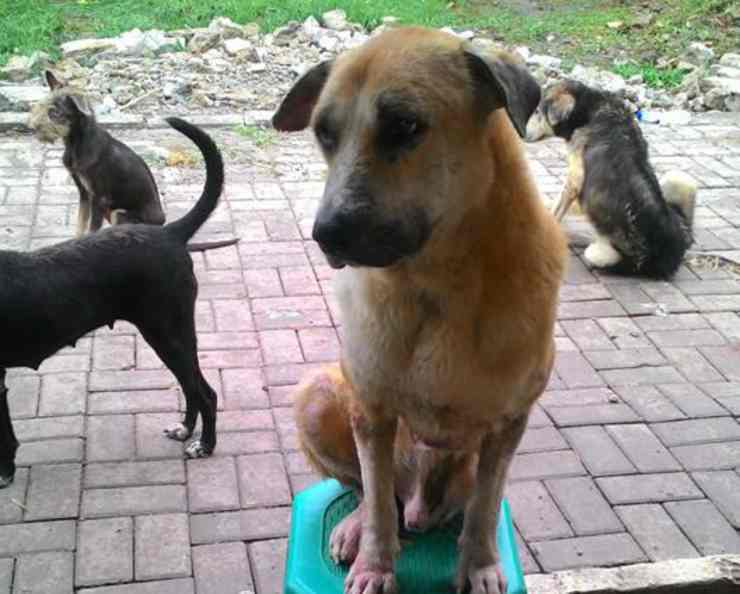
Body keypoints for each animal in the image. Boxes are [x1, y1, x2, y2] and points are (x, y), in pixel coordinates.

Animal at [1, 115, 224, 486]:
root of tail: (169, 233)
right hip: (170, 337)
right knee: (192, 387)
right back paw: (185, 429)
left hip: (168, 334)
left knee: (205, 392)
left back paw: (204, 446)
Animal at [274, 26, 568, 592]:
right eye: (324, 133)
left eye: (405, 125)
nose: (326, 234)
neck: (439, 287)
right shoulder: (370, 411)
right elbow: (376, 503)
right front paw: (374, 564)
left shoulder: (509, 424)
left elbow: (485, 509)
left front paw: (480, 564)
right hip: (319, 396)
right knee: (374, 495)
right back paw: (355, 525)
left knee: (461, 504)